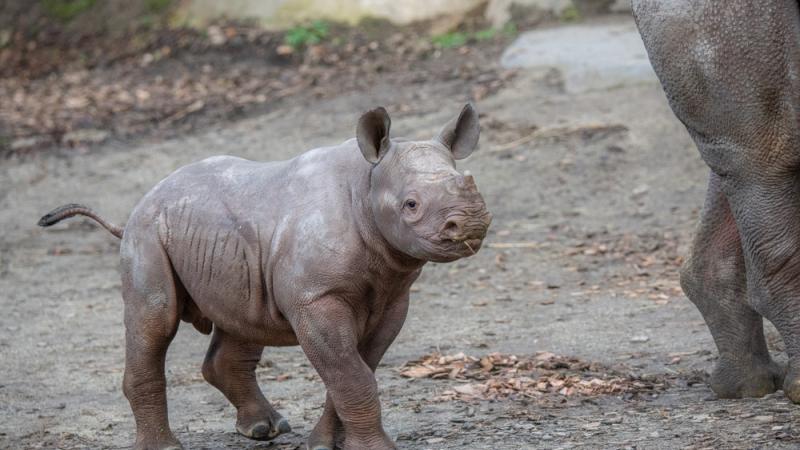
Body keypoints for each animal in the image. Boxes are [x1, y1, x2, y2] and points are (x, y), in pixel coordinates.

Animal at [42, 103, 494, 448]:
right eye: (411, 205)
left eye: (468, 183)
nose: (472, 223)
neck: (366, 185)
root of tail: (139, 205)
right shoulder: (315, 297)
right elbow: (353, 377)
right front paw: (374, 449)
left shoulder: (392, 298)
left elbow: (352, 373)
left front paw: (324, 444)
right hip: (148, 232)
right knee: (154, 320)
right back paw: (167, 447)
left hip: (228, 242)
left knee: (243, 317)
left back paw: (264, 430)